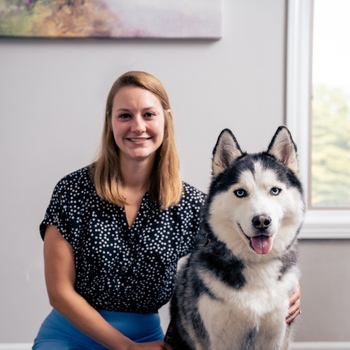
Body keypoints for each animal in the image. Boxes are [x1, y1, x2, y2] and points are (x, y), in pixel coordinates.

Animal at [167, 126, 304, 350]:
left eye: (275, 190)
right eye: (240, 193)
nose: (262, 221)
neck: (257, 266)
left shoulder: (276, 336)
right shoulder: (215, 339)